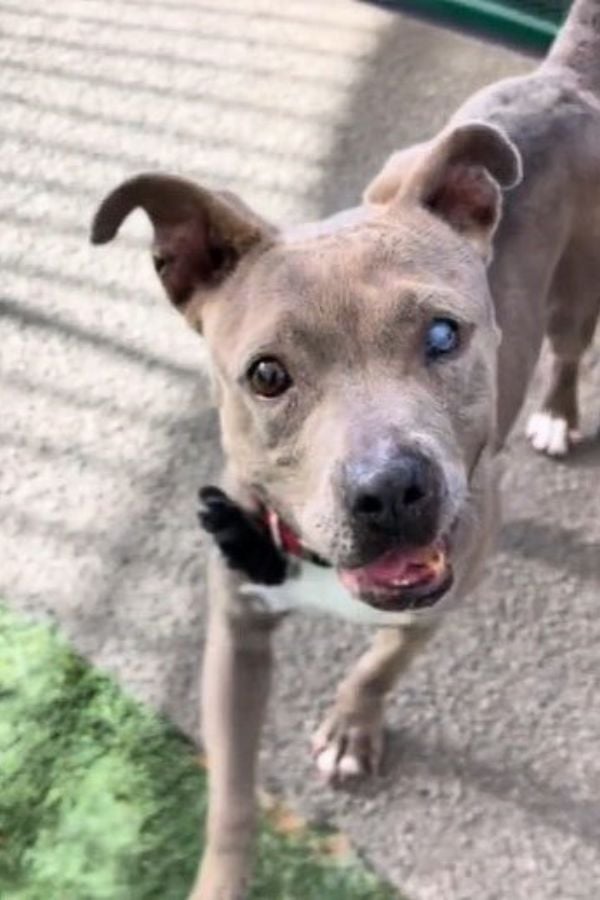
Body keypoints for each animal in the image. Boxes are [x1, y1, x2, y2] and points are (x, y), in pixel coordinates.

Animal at [91, 3, 600, 896]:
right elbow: (232, 795)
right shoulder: (235, 634)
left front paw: (352, 727)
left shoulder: (448, 588)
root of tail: (557, 77)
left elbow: (381, 662)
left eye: (443, 334)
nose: (390, 490)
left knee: (571, 349)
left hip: (579, 292)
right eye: (266, 375)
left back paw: (557, 415)